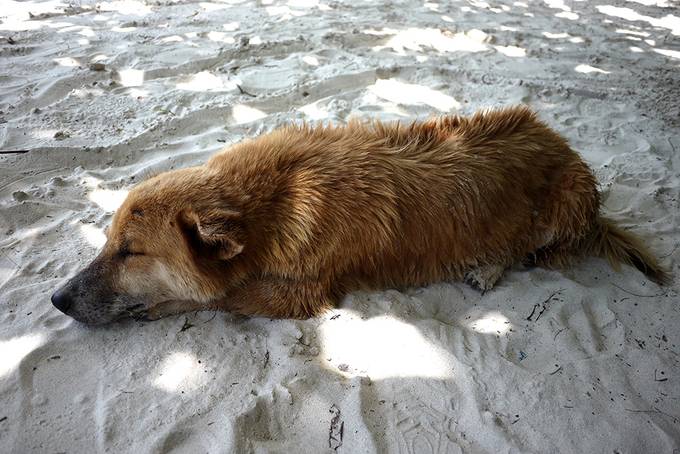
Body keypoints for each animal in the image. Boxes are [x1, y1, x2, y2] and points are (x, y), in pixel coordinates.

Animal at [50, 105, 668, 326]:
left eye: (132, 251)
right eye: (106, 241)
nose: (55, 300)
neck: (274, 201)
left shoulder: (301, 292)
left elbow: (221, 297)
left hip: (562, 204)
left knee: (532, 249)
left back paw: (492, 265)